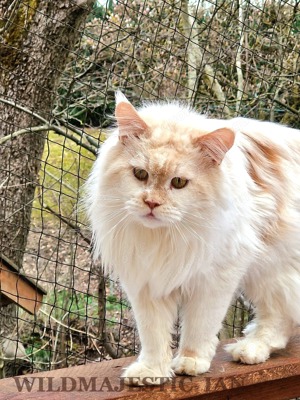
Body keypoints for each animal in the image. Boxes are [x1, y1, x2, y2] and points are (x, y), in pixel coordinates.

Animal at [84, 90, 300, 384]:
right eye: (140, 174)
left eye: (178, 183)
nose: (151, 203)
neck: (163, 238)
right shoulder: (146, 282)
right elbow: (153, 334)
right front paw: (152, 371)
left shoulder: (215, 278)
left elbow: (200, 325)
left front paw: (191, 361)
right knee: (280, 319)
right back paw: (251, 348)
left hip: (274, 269)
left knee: (279, 317)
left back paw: (250, 349)